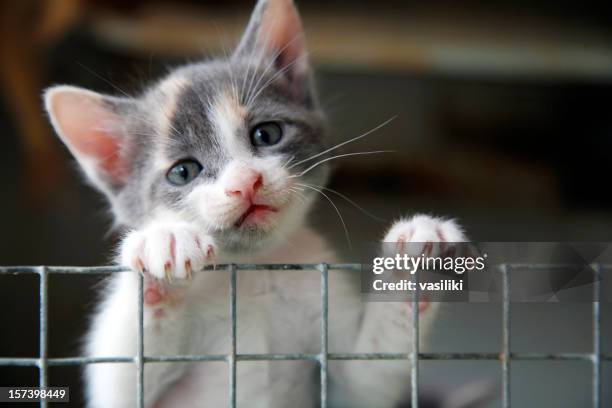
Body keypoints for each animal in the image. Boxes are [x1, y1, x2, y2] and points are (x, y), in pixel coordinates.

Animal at [43, 0, 464, 408]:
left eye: (267, 134)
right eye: (183, 172)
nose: (245, 183)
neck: (252, 271)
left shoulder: (347, 375)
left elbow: (367, 378)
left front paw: (415, 258)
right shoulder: (118, 390)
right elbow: (118, 380)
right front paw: (163, 245)